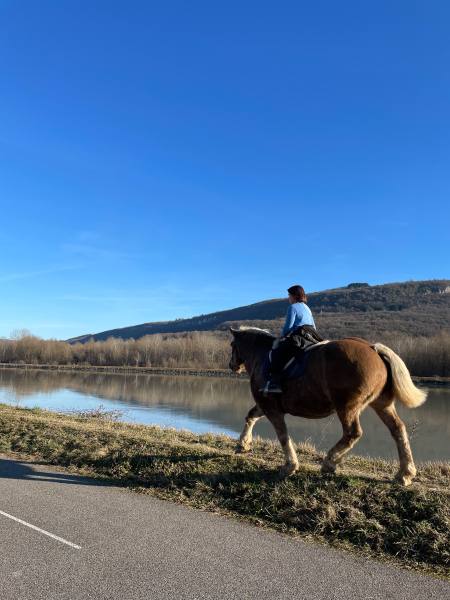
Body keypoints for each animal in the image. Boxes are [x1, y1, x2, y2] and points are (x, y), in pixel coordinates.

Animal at [230, 328, 428, 488]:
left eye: (232, 344)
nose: (232, 365)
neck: (262, 356)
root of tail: (374, 349)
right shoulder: (264, 406)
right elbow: (251, 416)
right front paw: (243, 444)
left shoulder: (272, 409)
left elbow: (283, 436)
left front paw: (290, 466)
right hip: (382, 404)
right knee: (398, 429)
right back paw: (405, 473)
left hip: (347, 407)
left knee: (353, 433)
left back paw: (329, 462)